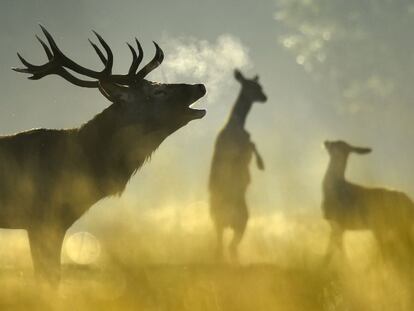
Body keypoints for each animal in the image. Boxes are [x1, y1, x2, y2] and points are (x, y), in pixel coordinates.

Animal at [209, 69, 266, 262]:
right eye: (254, 86)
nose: (265, 97)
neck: (237, 123)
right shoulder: (243, 147)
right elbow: (253, 145)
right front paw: (261, 165)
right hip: (242, 222)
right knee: (229, 247)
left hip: (222, 225)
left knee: (221, 247)